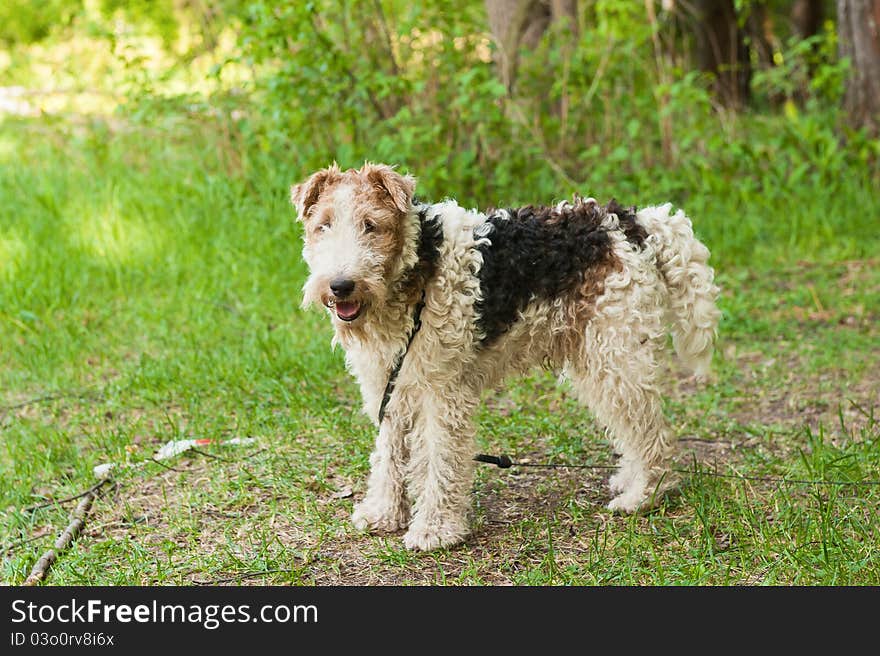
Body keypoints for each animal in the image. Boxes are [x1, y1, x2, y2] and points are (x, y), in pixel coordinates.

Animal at [292, 161, 720, 552]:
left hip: (614, 353)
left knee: (652, 433)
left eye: (371, 225)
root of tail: (636, 223)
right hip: (604, 357)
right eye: (323, 225)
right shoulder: (389, 384)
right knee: (634, 428)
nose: (341, 286)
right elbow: (388, 457)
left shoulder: (442, 394)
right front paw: (383, 512)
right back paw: (628, 481)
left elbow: (439, 462)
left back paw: (642, 496)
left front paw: (435, 530)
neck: (417, 268)